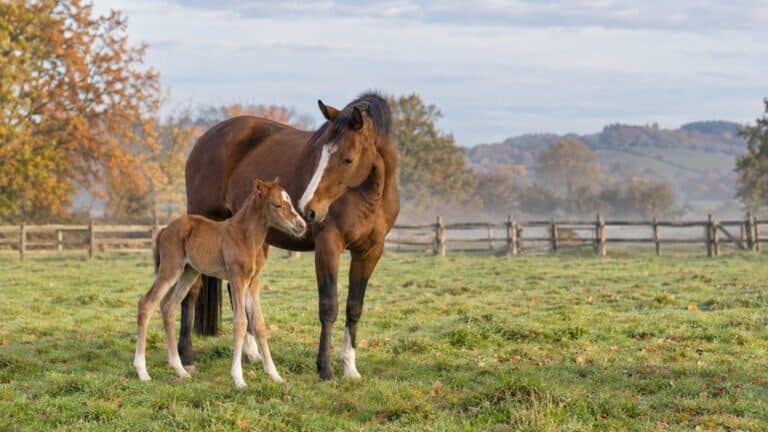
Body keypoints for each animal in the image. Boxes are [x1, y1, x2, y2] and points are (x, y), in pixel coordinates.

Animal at [133, 178, 306, 388]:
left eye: (289, 201)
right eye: (277, 205)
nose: (301, 225)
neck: (244, 235)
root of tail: (165, 230)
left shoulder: (253, 282)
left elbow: (259, 324)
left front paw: (274, 375)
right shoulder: (237, 279)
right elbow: (240, 323)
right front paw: (238, 378)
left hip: (188, 273)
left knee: (169, 309)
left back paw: (180, 370)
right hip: (170, 270)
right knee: (146, 304)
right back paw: (142, 372)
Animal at [181, 92, 399, 380]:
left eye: (348, 159)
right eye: (319, 155)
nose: (308, 209)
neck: (369, 195)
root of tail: (203, 140)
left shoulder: (370, 251)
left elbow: (354, 306)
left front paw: (350, 366)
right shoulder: (328, 246)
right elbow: (328, 306)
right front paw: (325, 369)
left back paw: (250, 353)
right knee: (192, 291)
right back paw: (186, 357)